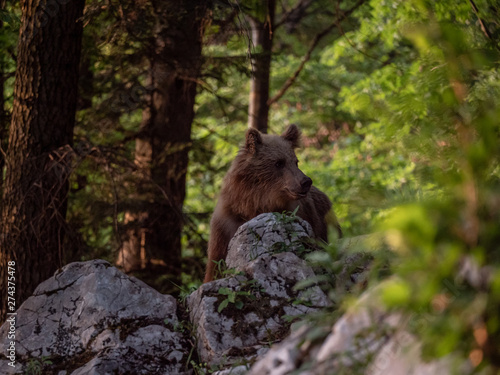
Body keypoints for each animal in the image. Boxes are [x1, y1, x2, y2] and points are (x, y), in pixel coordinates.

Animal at [203, 125, 340, 284]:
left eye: (295, 161)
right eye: (279, 162)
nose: (306, 181)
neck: (254, 203)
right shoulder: (225, 226)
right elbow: (215, 266)